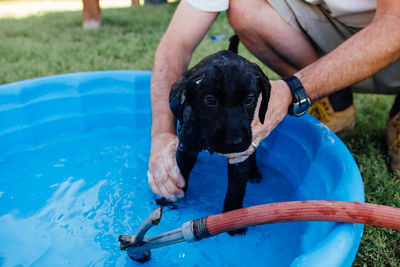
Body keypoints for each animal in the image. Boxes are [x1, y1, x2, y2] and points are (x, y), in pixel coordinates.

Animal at [167, 50, 270, 234]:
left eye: (250, 98)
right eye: (210, 100)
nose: (235, 141)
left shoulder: (240, 157)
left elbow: (236, 188)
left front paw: (233, 216)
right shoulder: (186, 148)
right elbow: (182, 174)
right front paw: (171, 200)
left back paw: (254, 172)